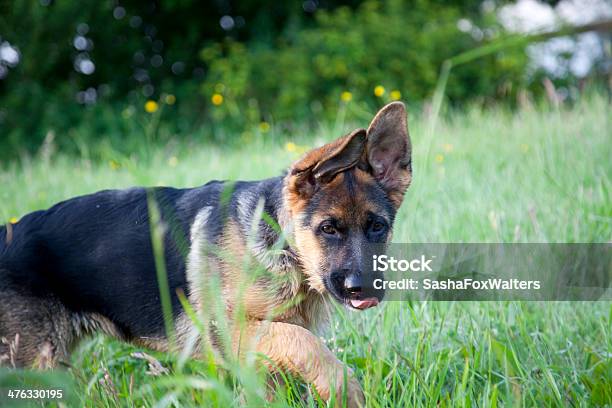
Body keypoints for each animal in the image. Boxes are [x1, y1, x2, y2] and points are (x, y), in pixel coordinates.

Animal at [1, 103, 412, 408]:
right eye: (328, 228)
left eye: (377, 227)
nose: (364, 290)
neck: (282, 244)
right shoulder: (231, 331)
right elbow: (308, 345)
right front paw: (345, 390)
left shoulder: (263, 350)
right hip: (30, 362)